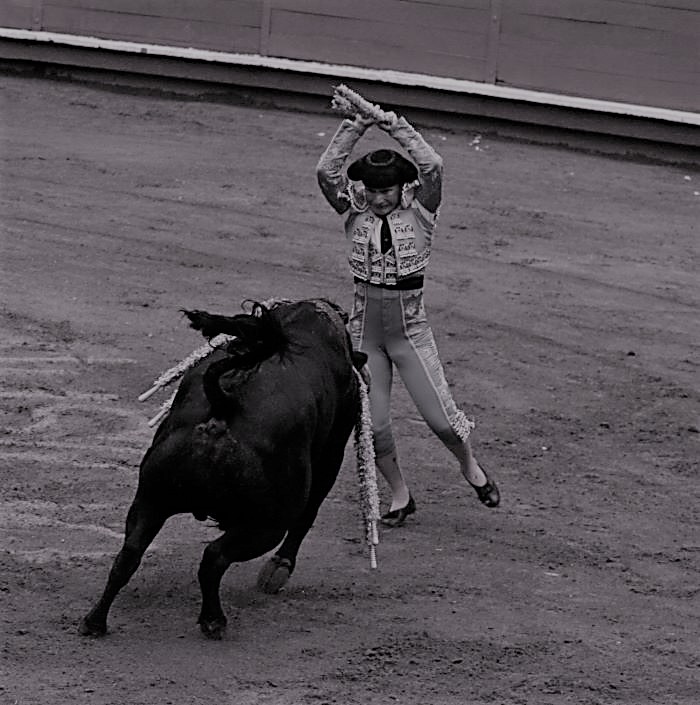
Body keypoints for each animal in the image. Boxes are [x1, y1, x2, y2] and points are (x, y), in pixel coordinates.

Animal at [79, 298, 368, 639]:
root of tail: (225, 403)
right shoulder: (331, 451)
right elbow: (307, 515)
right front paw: (279, 569)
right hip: (265, 525)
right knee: (214, 558)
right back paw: (213, 620)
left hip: (151, 499)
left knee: (128, 555)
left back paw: (95, 621)